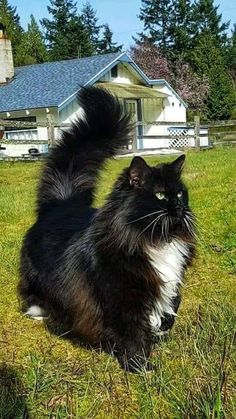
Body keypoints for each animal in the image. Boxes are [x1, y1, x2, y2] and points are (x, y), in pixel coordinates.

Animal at [18, 87, 195, 372]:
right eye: (159, 195)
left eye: (179, 194)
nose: (179, 208)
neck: (153, 238)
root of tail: (62, 202)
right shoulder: (121, 298)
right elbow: (132, 335)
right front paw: (141, 369)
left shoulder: (170, 283)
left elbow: (169, 311)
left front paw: (159, 332)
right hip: (35, 276)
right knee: (32, 292)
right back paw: (39, 312)